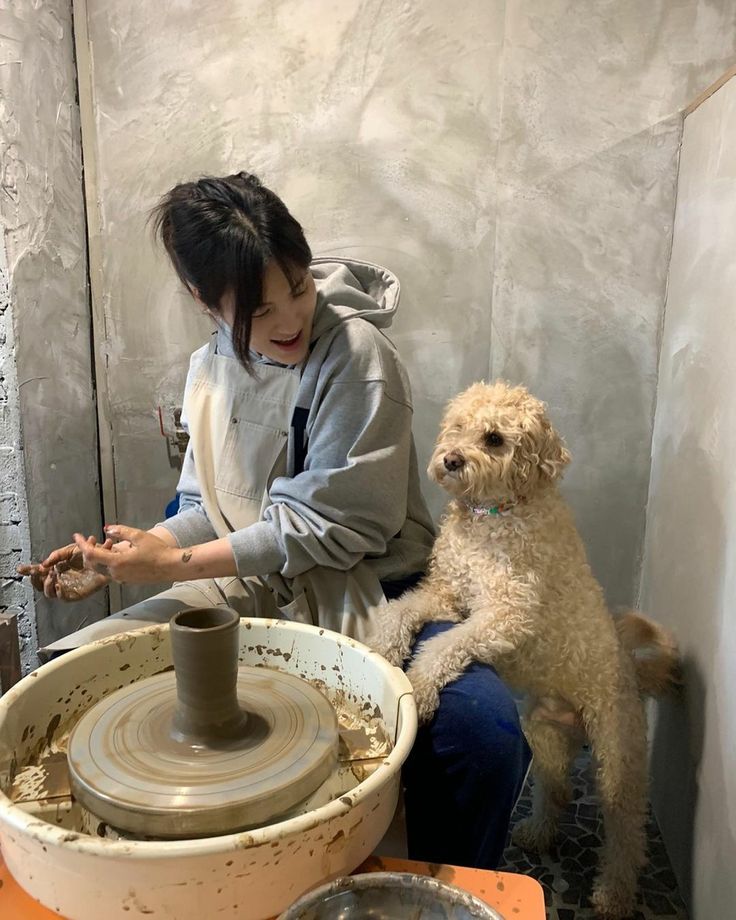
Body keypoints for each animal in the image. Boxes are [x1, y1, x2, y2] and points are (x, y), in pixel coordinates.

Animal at [368, 380, 680, 920]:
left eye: (494, 438)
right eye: (458, 426)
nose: (450, 460)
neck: (494, 514)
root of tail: (631, 674)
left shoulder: (503, 615)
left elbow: (444, 647)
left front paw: (420, 687)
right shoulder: (447, 595)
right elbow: (399, 613)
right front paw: (384, 652)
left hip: (617, 755)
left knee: (627, 832)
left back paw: (613, 895)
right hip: (545, 737)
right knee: (557, 790)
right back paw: (537, 832)